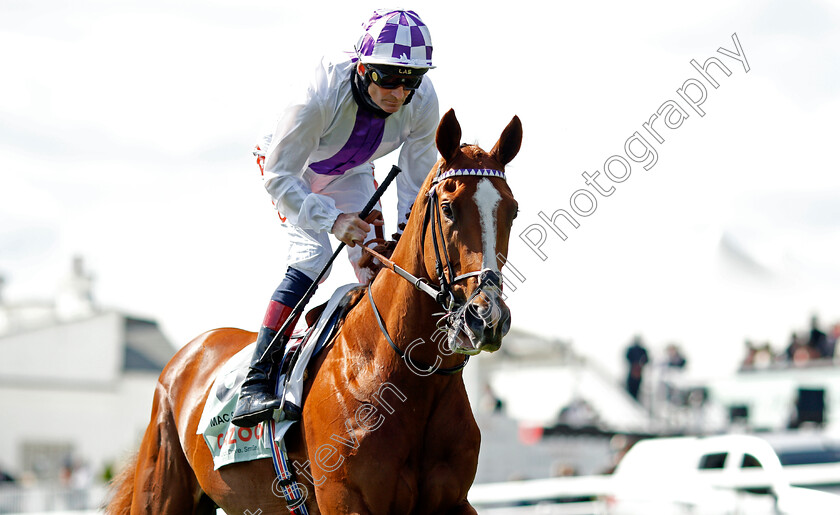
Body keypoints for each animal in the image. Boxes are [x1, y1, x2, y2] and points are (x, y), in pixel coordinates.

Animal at [106, 107, 520, 512]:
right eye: (448, 208)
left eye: (512, 211)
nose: (487, 317)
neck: (402, 375)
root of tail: (186, 356)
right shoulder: (346, 500)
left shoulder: (454, 501)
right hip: (162, 486)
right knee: (307, 258)